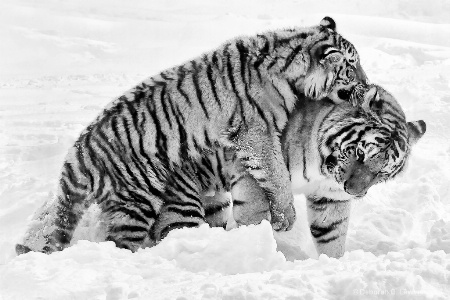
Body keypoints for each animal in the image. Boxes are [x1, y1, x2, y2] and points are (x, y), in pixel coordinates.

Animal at [16, 16, 370, 254]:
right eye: (351, 67)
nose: (367, 85)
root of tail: (79, 152)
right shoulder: (255, 132)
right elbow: (276, 173)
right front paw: (286, 217)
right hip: (136, 201)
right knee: (120, 241)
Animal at [207, 85, 426, 258]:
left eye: (382, 173)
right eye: (360, 153)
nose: (353, 191)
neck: (320, 171)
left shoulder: (331, 198)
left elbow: (331, 234)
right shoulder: (252, 161)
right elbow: (253, 209)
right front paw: (252, 243)